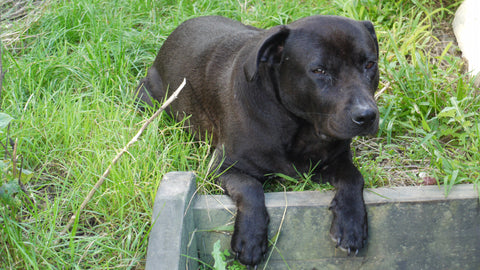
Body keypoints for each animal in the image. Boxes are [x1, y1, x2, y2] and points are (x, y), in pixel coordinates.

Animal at [135, 15, 378, 266]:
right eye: (319, 70)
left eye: (370, 64)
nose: (367, 116)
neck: (302, 129)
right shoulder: (222, 167)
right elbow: (250, 187)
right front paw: (250, 237)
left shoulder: (336, 160)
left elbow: (354, 177)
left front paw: (351, 224)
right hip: (147, 99)